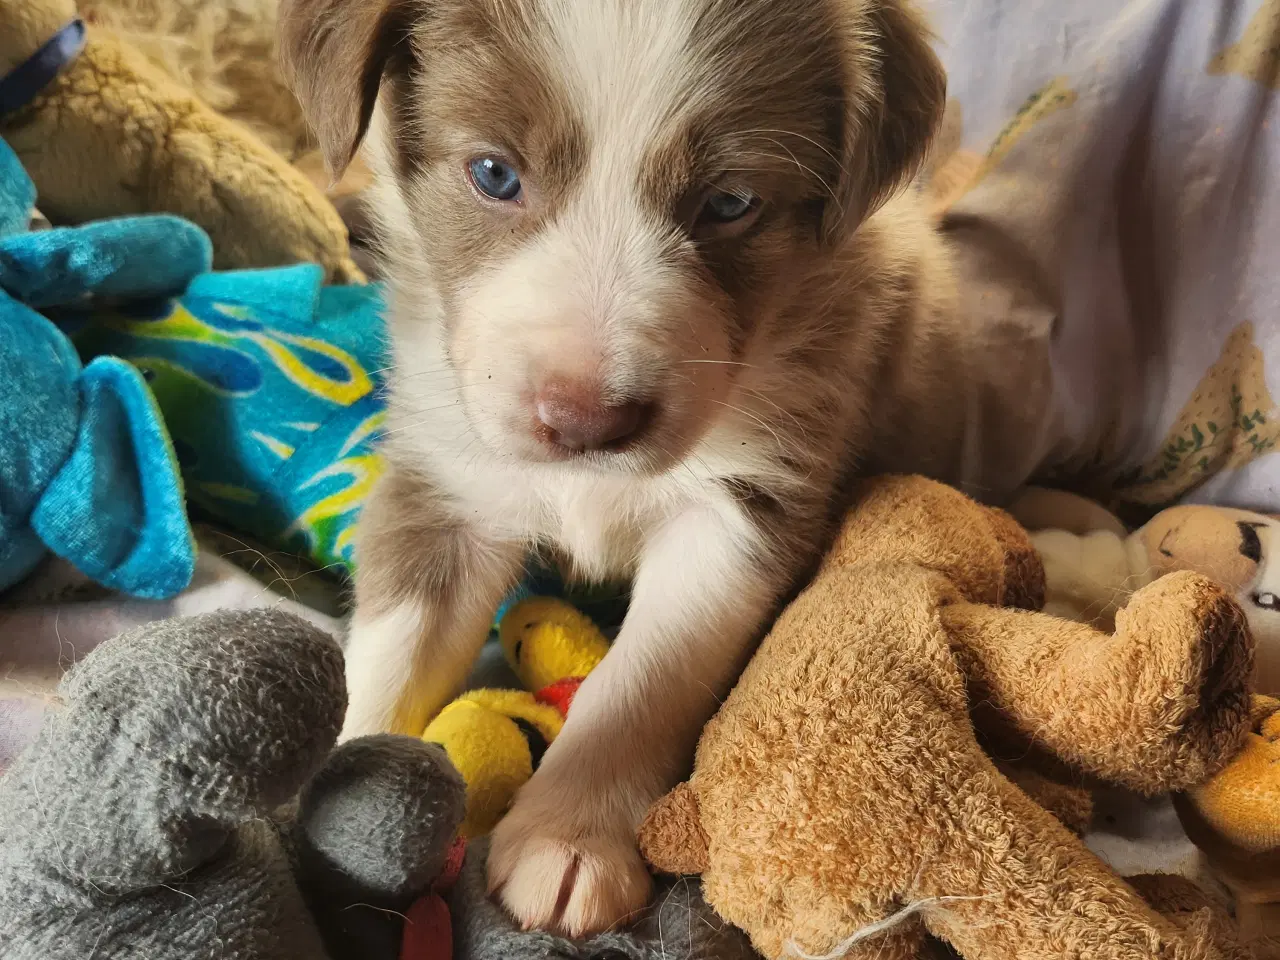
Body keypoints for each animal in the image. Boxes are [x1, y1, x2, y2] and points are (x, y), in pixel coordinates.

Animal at [280, 0, 1049, 942]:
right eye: (494, 173)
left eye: (729, 203)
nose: (585, 421)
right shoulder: (450, 478)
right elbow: (390, 651)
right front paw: (337, 787)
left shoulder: (741, 508)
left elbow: (639, 684)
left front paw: (569, 840)